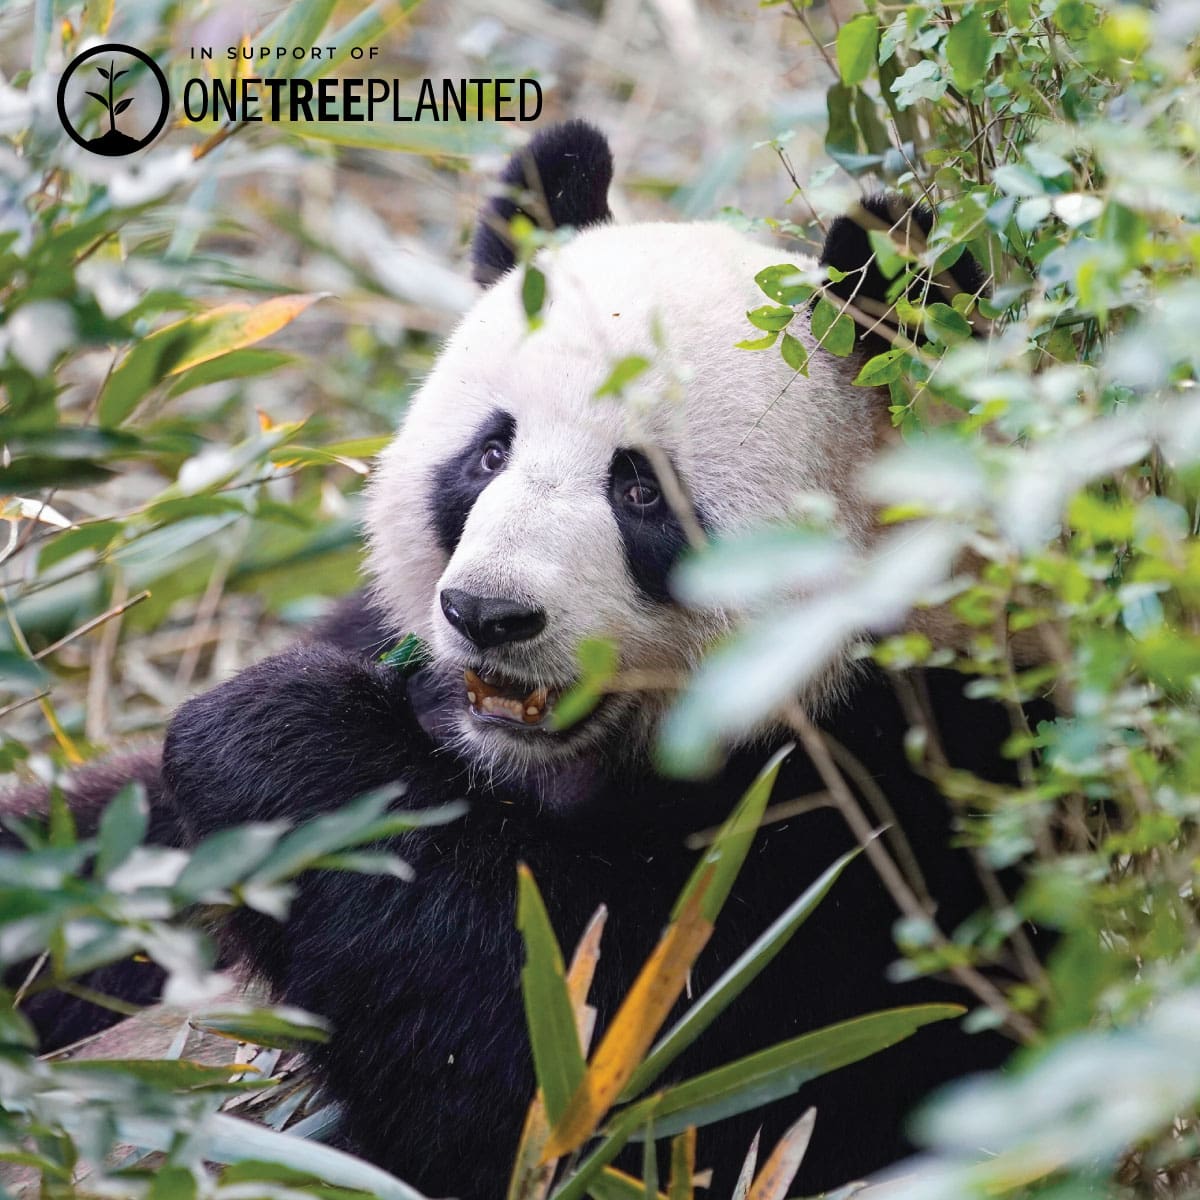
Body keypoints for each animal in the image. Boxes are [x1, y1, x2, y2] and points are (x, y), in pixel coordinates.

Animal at [6, 121, 1030, 1198]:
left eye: (643, 490)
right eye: (488, 454)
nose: (487, 614)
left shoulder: (894, 814)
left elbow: (602, 1081)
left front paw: (270, 738)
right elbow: (104, 844)